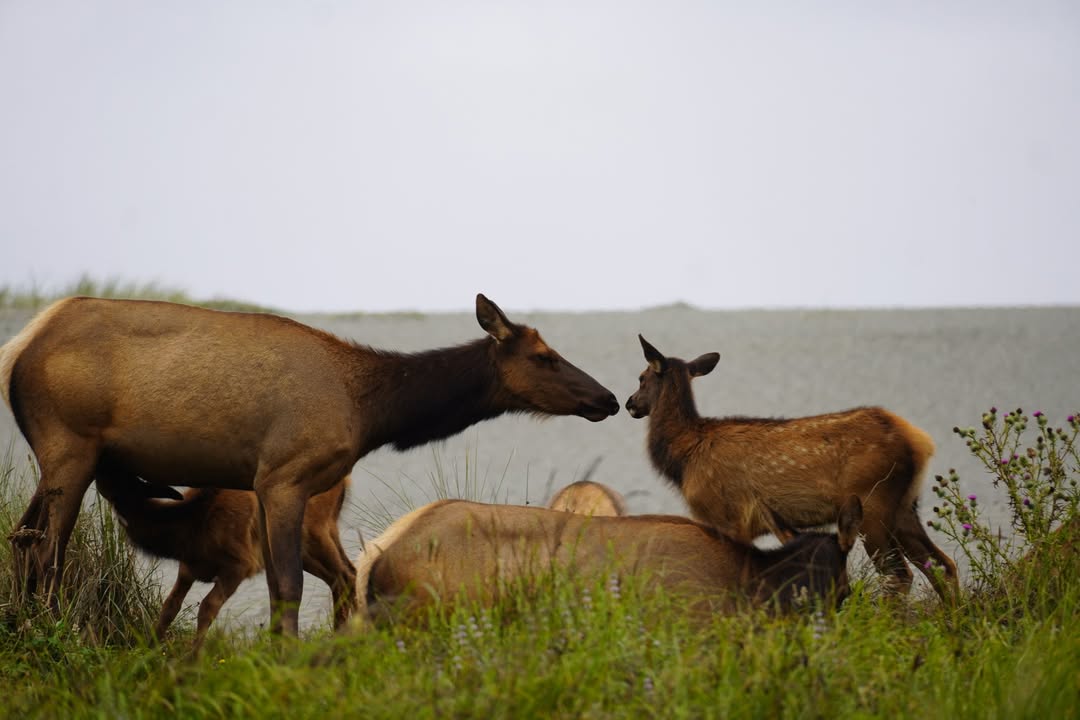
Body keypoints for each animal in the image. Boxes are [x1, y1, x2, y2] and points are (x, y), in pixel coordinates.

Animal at [94, 470, 355, 653]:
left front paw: (192, 660)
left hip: (312, 533)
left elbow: (207, 607)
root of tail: (346, 480)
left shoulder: (240, 564)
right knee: (347, 573)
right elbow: (169, 607)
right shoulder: (188, 569)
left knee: (343, 576)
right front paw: (148, 650)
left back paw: (341, 639)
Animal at [624, 335, 958, 602]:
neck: (684, 457)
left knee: (899, 574)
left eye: (641, 377)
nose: (630, 403)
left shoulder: (725, 515)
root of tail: (919, 441)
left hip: (874, 503)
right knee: (943, 565)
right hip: (905, 506)